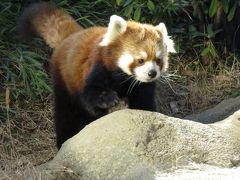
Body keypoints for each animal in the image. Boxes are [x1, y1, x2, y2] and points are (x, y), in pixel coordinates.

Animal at [17, 2, 175, 148]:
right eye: (140, 60)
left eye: (158, 60)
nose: (152, 73)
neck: (124, 78)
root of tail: (72, 36)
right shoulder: (96, 68)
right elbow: (89, 99)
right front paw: (106, 98)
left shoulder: (141, 86)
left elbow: (143, 103)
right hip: (63, 78)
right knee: (66, 112)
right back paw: (64, 140)